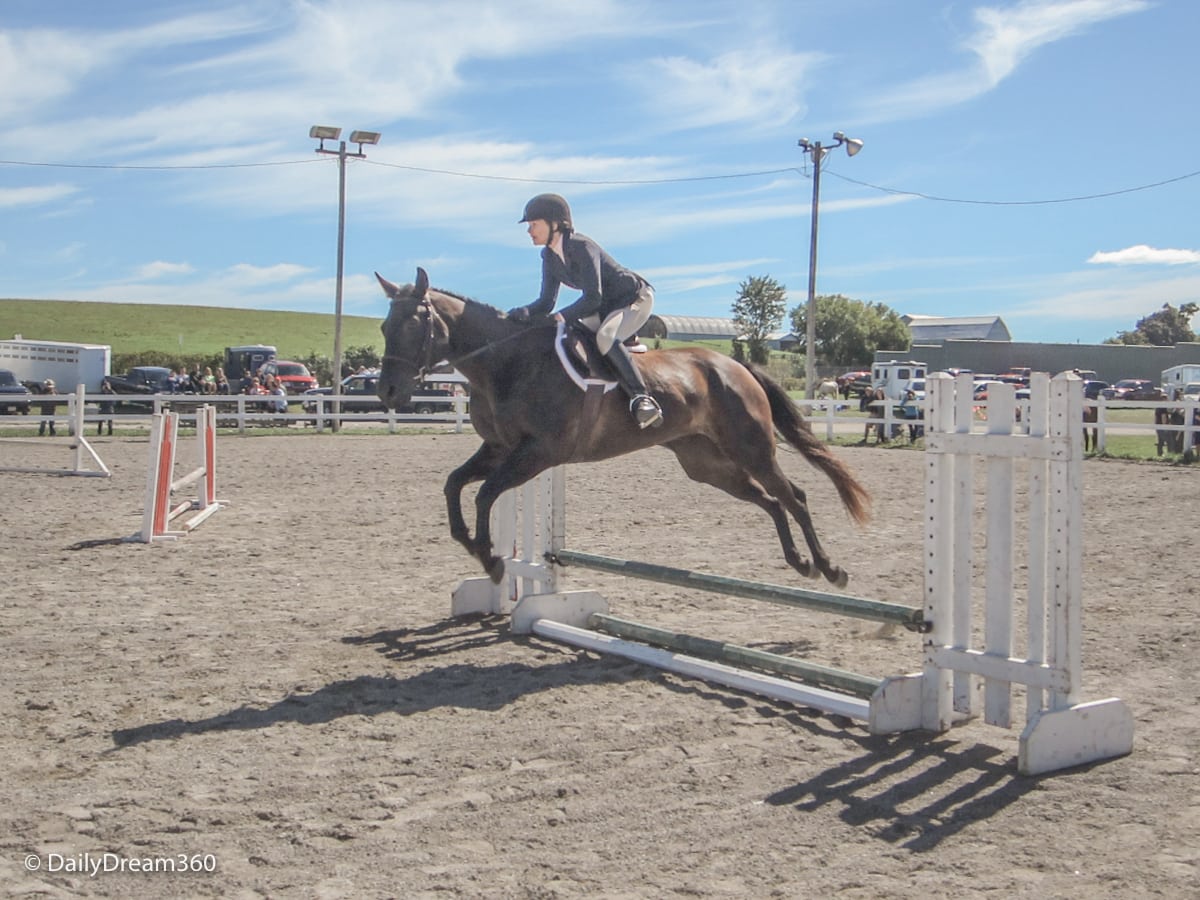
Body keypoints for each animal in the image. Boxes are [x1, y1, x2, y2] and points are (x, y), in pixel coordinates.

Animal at [376, 267, 873, 592]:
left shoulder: (538, 453)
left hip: (751, 448)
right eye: (383, 326)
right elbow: (454, 484)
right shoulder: (499, 448)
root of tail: (734, 366)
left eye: (414, 323)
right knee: (770, 501)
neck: (505, 363)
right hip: (708, 465)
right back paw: (800, 563)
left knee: (794, 497)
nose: (387, 392)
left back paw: (830, 569)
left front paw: (492, 560)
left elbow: (483, 494)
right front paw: (473, 547)